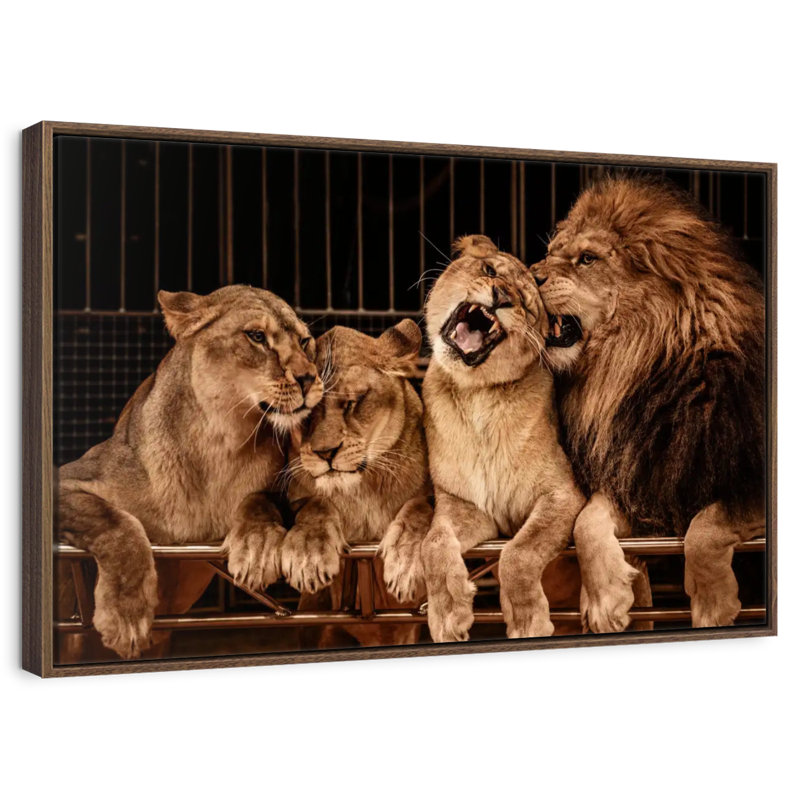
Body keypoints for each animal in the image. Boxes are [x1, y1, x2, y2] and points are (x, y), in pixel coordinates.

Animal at [57, 285, 323, 659]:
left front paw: (256, 547)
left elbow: (261, 500)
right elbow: (115, 522)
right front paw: (126, 615)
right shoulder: (67, 478)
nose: (309, 378)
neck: (220, 440)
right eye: (257, 336)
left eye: (304, 341)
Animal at [421, 234, 586, 642]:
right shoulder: (464, 505)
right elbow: (432, 544)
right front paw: (448, 614)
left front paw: (528, 622)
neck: (476, 394)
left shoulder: (562, 494)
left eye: (526, 304)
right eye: (490, 270)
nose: (501, 296)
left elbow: (519, 552)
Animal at [533, 176, 765, 632]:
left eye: (587, 259)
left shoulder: (748, 480)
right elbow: (587, 519)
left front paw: (713, 604)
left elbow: (707, 525)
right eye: (551, 252)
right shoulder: (640, 476)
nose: (527, 275)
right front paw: (605, 599)